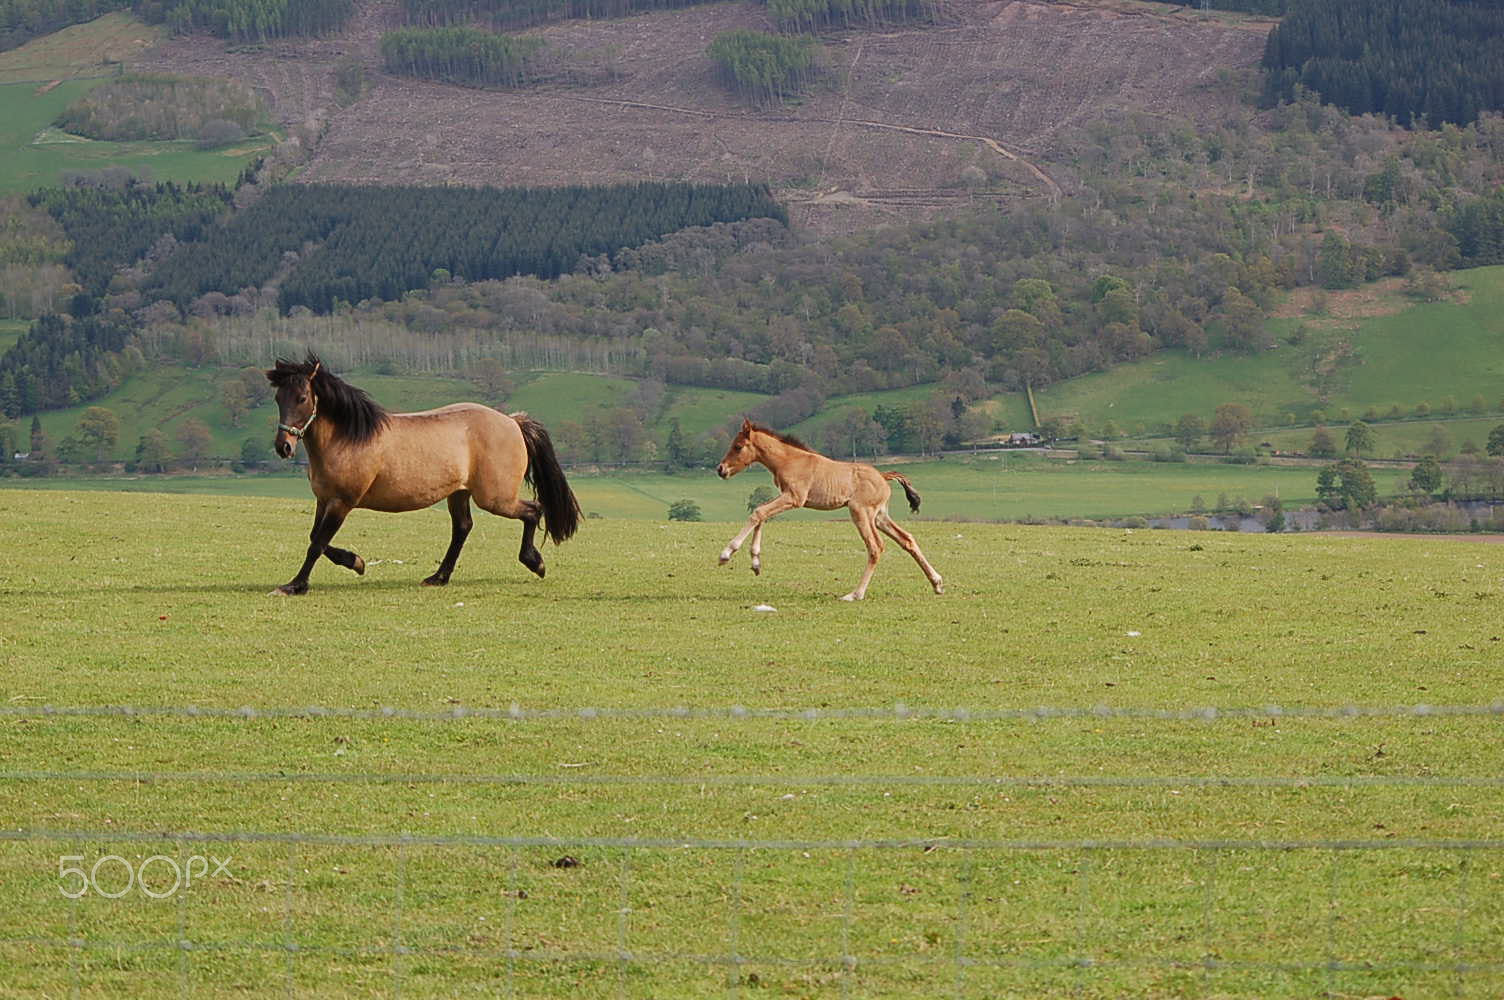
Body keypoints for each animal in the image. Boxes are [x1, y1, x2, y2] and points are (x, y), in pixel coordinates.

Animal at [712, 418, 938, 601]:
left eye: (738, 446)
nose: (720, 469)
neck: (790, 460)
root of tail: (883, 476)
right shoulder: (786, 496)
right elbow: (762, 514)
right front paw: (756, 564)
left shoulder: (794, 498)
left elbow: (757, 513)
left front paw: (726, 554)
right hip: (879, 516)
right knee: (907, 540)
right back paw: (937, 583)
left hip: (861, 512)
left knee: (875, 547)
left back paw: (855, 594)